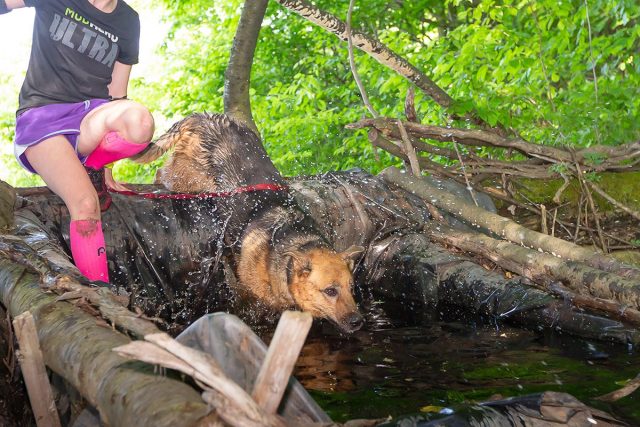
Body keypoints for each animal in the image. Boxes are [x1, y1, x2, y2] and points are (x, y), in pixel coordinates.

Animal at [135, 114, 364, 334]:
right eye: (330, 291)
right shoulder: (254, 295)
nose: (358, 322)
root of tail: (201, 117)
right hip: (185, 177)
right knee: (160, 173)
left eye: (352, 289)